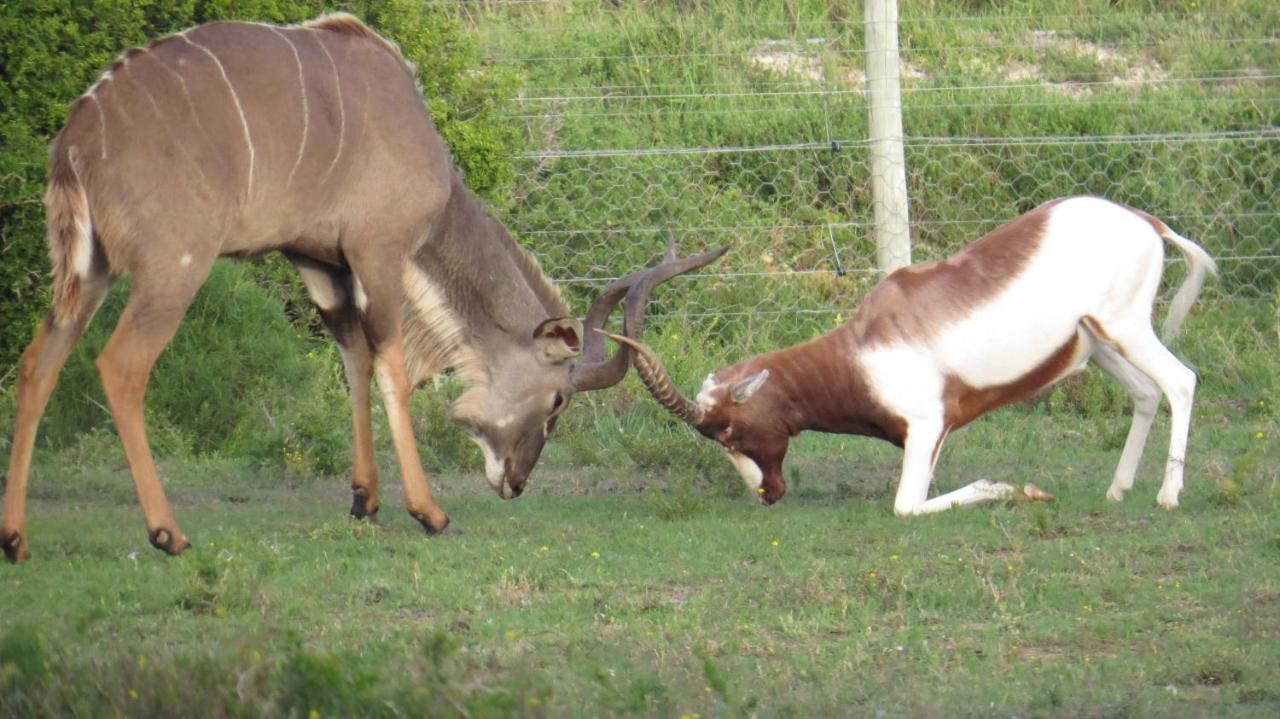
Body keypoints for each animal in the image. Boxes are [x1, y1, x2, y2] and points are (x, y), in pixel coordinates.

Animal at [0, 12, 727, 560]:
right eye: (556, 402)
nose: (515, 483)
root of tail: (74, 141)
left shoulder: (320, 261)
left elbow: (352, 357)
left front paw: (364, 499)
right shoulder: (379, 251)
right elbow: (392, 365)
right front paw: (428, 511)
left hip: (85, 272)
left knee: (39, 362)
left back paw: (16, 538)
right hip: (172, 267)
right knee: (121, 365)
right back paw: (167, 532)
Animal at [609, 194, 1218, 509]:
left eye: (729, 432)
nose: (768, 493)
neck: (861, 350)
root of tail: (1146, 221)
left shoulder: (928, 428)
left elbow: (907, 505)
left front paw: (1017, 488)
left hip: (1127, 329)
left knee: (1181, 381)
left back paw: (1168, 496)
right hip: (1097, 344)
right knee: (1146, 394)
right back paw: (1117, 490)